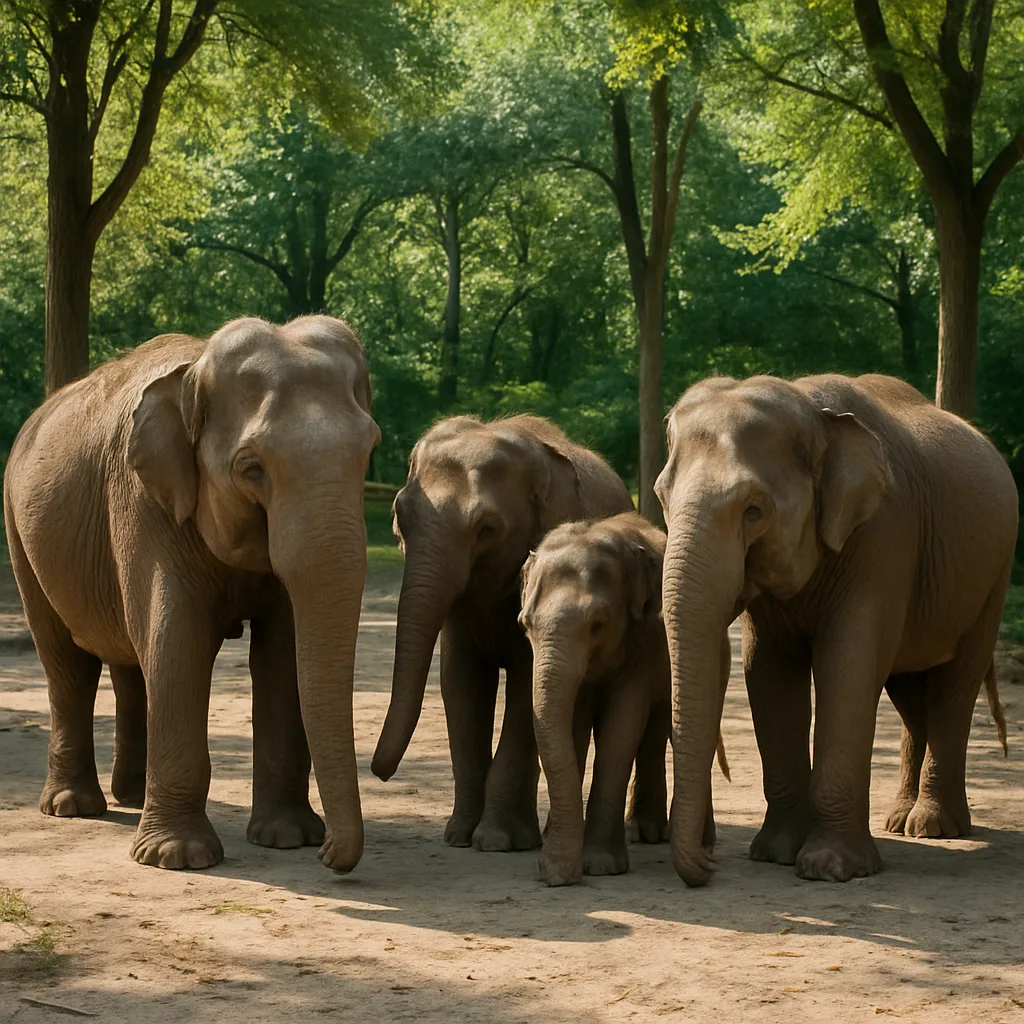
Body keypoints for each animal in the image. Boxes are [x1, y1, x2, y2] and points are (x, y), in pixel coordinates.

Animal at [3, 315, 380, 872]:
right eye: (251, 468)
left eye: (369, 450)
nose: (330, 855)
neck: (195, 371)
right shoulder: (145, 503)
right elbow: (177, 640)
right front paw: (176, 857)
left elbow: (282, 651)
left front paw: (287, 837)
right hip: (21, 534)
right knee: (67, 662)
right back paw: (73, 806)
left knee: (130, 660)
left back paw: (133, 796)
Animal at [370, 415, 634, 851]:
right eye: (399, 517)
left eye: (487, 529)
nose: (380, 773)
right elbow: (461, 684)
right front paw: (459, 836)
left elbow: (525, 688)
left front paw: (494, 841)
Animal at [519, 511, 730, 886]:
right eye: (525, 624)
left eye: (598, 624)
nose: (555, 876)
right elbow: (574, 727)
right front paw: (560, 862)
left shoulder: (643, 640)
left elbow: (621, 727)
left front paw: (601, 866)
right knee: (654, 735)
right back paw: (645, 833)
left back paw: (698, 844)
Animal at [655, 372, 1017, 886]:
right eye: (661, 498)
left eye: (754, 511)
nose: (709, 861)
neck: (811, 409)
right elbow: (767, 671)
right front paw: (774, 854)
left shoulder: (884, 535)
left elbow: (849, 663)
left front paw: (831, 868)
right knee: (911, 693)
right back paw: (899, 822)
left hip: (992, 576)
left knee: (954, 687)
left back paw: (934, 828)